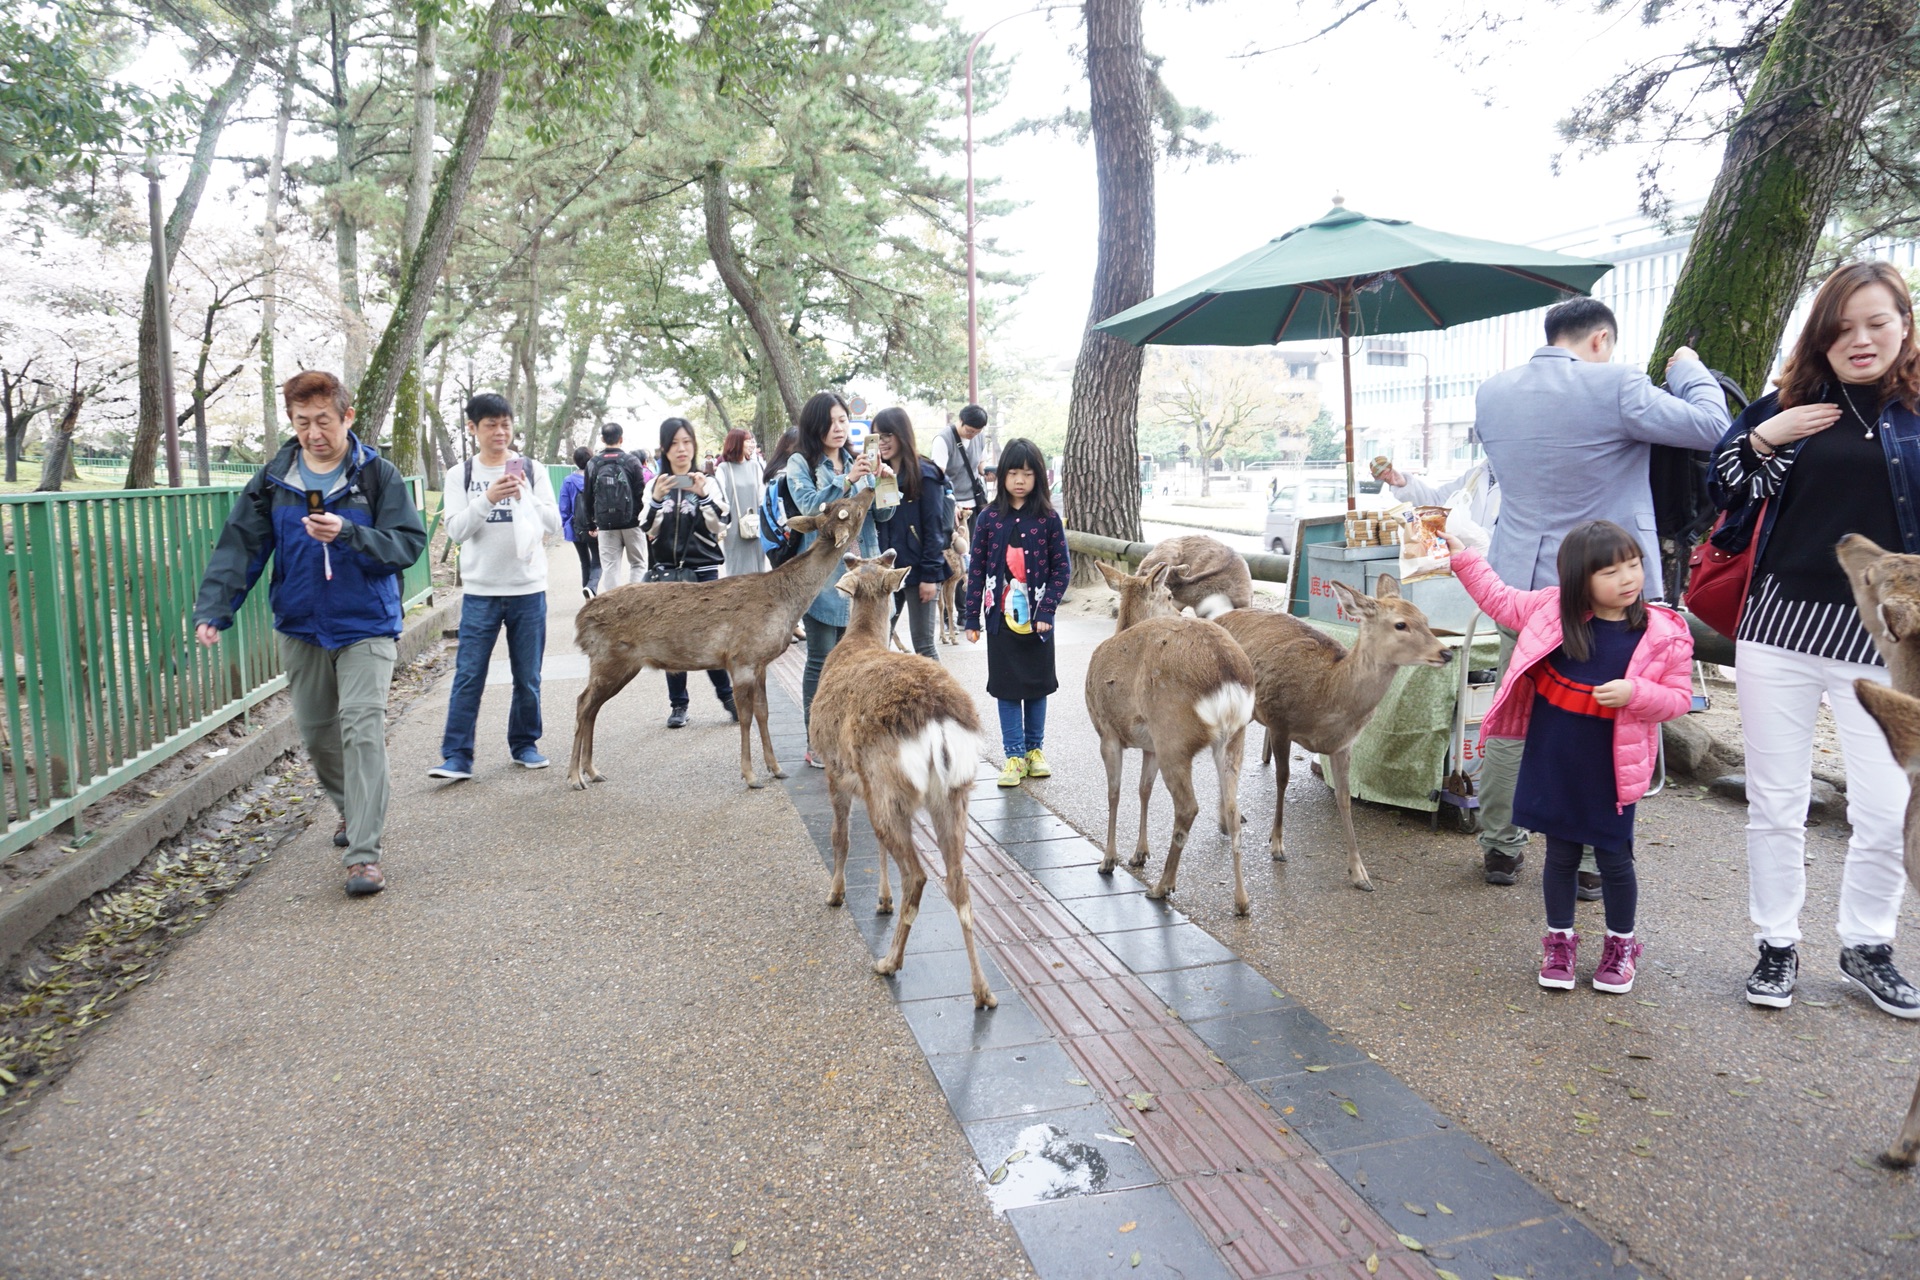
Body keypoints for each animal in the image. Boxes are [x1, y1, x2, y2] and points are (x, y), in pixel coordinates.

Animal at [564, 491, 875, 790]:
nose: (870, 487)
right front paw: (750, 776)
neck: (785, 603)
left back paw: (592, 771)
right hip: (609, 658)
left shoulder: (760, 662)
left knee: (591, 707)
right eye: (852, 509)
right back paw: (576, 777)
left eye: (841, 502)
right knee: (582, 703)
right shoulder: (740, 658)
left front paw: (776, 769)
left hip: (621, 664)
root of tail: (580, 621)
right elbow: (746, 716)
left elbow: (763, 712)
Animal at [810, 552, 998, 1013]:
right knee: (958, 879)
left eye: (857, 561)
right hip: (952, 793)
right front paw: (881, 900)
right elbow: (874, 848)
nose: (851, 555)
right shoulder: (864, 785)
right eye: (869, 561)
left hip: (889, 784)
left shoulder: (837, 771)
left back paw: (888, 962)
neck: (859, 641)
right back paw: (982, 991)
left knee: (917, 874)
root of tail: (937, 720)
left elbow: (841, 837)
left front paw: (835, 894)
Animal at [1098, 560, 1259, 909]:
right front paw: (1139, 854)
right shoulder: (1149, 746)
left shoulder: (1106, 731)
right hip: (1234, 737)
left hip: (1174, 735)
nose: (1178, 612)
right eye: (1169, 596)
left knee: (1187, 806)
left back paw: (1163, 886)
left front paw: (1108, 861)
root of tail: (1226, 670)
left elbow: (1114, 792)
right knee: (1233, 807)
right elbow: (1143, 789)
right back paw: (1241, 901)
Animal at [1213, 579, 1451, 890]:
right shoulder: (1279, 722)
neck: (1326, 696)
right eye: (1401, 624)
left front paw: (1360, 874)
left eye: (1425, 619)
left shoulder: (1344, 745)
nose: (1446, 653)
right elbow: (1282, 780)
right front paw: (1277, 845)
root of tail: (1217, 617)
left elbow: (1345, 797)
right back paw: (1227, 820)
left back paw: (1229, 818)